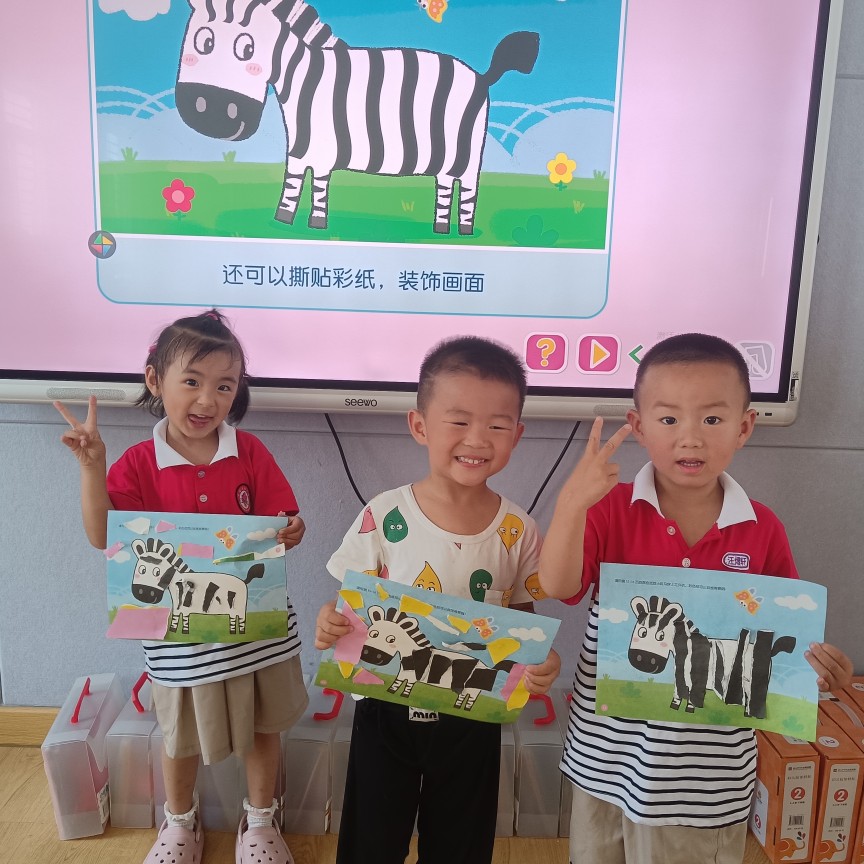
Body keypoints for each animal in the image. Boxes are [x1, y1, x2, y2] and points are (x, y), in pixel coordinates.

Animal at [130, 538, 265, 636]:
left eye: (157, 572)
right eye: (141, 569)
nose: (142, 594)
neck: (179, 581)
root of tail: (243, 581)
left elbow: (180, 619)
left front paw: (180, 631)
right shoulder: (179, 607)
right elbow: (178, 618)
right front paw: (178, 631)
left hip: (240, 608)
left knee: (241, 620)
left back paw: (240, 633)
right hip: (233, 608)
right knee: (232, 619)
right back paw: (232, 632)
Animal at [175, 0, 539, 234]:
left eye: (247, 49)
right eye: (201, 42)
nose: (207, 113)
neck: (302, 77)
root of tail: (482, 77)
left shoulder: (321, 151)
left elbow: (318, 188)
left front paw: (316, 224)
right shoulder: (300, 149)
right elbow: (292, 184)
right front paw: (283, 221)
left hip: (467, 154)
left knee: (468, 192)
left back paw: (462, 231)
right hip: (448, 159)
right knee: (446, 186)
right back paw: (439, 228)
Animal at [362, 605, 517, 711]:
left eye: (391, 639)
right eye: (372, 633)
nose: (369, 655)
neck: (411, 655)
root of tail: (490, 667)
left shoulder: (412, 676)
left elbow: (408, 686)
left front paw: (403, 696)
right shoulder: (404, 672)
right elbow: (396, 683)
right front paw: (390, 692)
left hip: (474, 690)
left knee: (471, 700)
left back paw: (465, 710)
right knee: (462, 696)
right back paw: (457, 708)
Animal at [627, 595, 796, 719]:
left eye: (660, 636)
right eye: (641, 632)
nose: (642, 661)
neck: (686, 647)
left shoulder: (694, 677)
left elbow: (691, 694)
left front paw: (689, 709)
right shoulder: (679, 673)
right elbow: (677, 691)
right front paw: (674, 707)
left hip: (749, 680)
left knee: (750, 698)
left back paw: (748, 715)